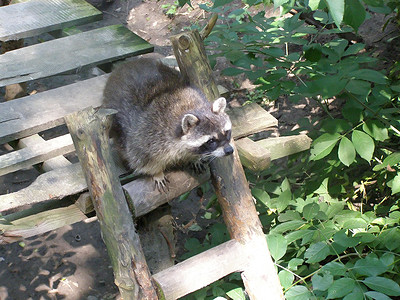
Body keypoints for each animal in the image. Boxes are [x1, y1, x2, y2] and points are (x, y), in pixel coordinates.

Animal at [103, 57, 233, 191]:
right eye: (211, 141)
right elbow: (142, 158)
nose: (229, 150)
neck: (192, 107)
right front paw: (157, 173)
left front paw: (194, 158)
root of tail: (125, 65)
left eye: (226, 132)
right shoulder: (146, 134)